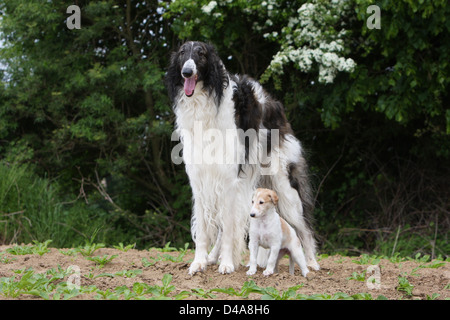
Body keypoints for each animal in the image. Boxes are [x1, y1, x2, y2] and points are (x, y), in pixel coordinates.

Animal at [166, 40, 320, 276]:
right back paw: (213, 257)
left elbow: (229, 228)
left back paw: (311, 262)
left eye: (201, 54)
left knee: (304, 226)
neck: (205, 104)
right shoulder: (201, 179)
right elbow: (204, 229)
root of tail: (274, 103)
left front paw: (227, 264)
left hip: (284, 186)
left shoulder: (229, 178)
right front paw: (199, 262)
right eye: (183, 53)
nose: (186, 72)